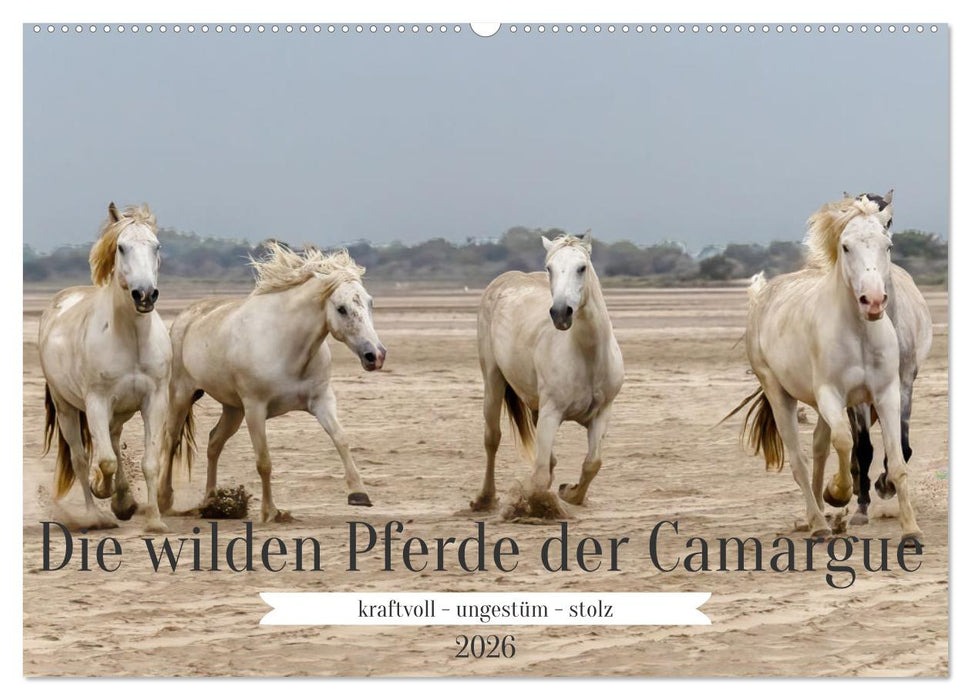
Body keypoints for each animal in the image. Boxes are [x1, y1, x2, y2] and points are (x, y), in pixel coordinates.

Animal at [39, 202, 171, 532]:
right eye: (121, 247)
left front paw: (154, 520)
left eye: (157, 246)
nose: (145, 295)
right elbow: (105, 461)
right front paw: (102, 489)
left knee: (111, 439)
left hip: (119, 411)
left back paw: (123, 502)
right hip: (66, 408)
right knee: (81, 458)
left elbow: (151, 462)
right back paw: (97, 515)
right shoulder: (97, 402)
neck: (132, 339)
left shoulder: (155, 399)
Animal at [161, 242, 386, 522]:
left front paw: (359, 493)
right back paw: (164, 500)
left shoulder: (322, 400)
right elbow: (264, 461)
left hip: (233, 409)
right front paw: (271, 512)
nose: (375, 355)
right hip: (182, 396)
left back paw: (212, 501)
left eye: (369, 302)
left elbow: (341, 438)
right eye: (341, 308)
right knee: (171, 440)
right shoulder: (255, 408)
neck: (287, 346)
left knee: (214, 442)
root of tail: (184, 319)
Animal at [471, 232, 624, 517]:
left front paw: (569, 492)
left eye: (581, 268)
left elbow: (592, 463)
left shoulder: (601, 413)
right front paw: (536, 507)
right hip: (493, 380)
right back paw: (484, 499)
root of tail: (505, 279)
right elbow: (541, 473)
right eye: (549, 268)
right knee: (492, 438)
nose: (561, 313)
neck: (587, 357)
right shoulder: (551, 412)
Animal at [729, 194, 921, 540]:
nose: (873, 300)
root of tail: (763, 295)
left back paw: (818, 515)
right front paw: (838, 493)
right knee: (800, 459)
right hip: (780, 393)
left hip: (819, 405)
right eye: (845, 246)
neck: (859, 333)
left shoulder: (886, 392)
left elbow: (897, 459)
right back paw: (818, 524)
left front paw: (911, 530)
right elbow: (845, 441)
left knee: (819, 448)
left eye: (887, 244)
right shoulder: (833, 394)